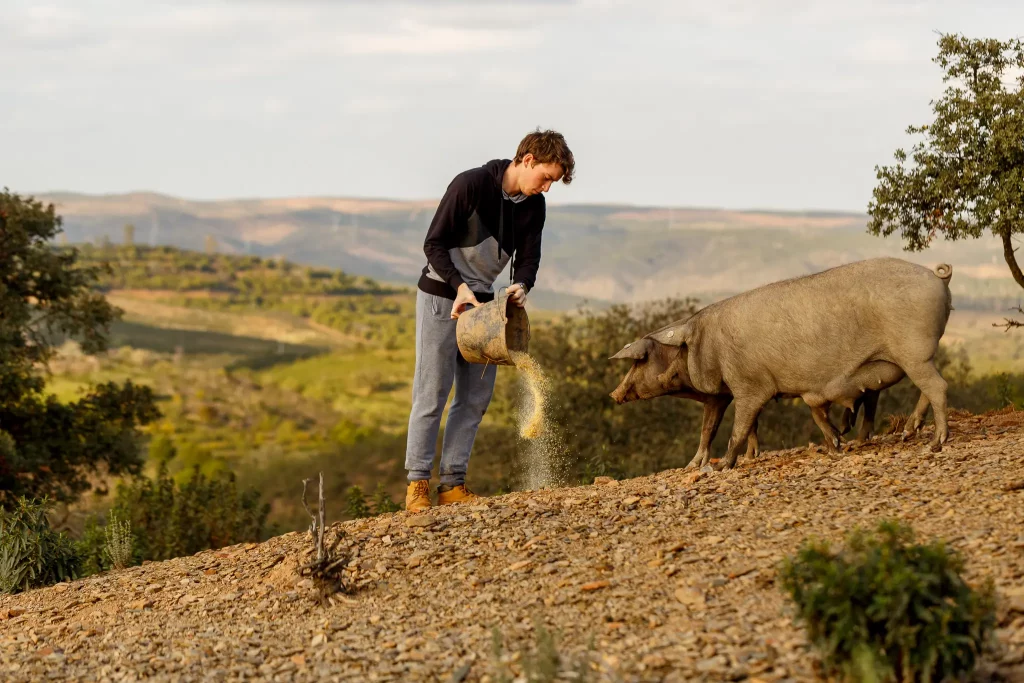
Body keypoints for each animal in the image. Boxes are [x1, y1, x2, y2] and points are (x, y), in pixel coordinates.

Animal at [610, 258, 951, 469]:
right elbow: (712, 428)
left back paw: (935, 444)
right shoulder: (721, 394)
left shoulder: (749, 386)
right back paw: (905, 432)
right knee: (927, 388)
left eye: (640, 360)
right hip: (915, 357)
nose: (613, 394)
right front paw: (697, 465)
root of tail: (938, 276)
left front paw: (724, 467)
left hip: (913, 352)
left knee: (938, 386)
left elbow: (739, 426)